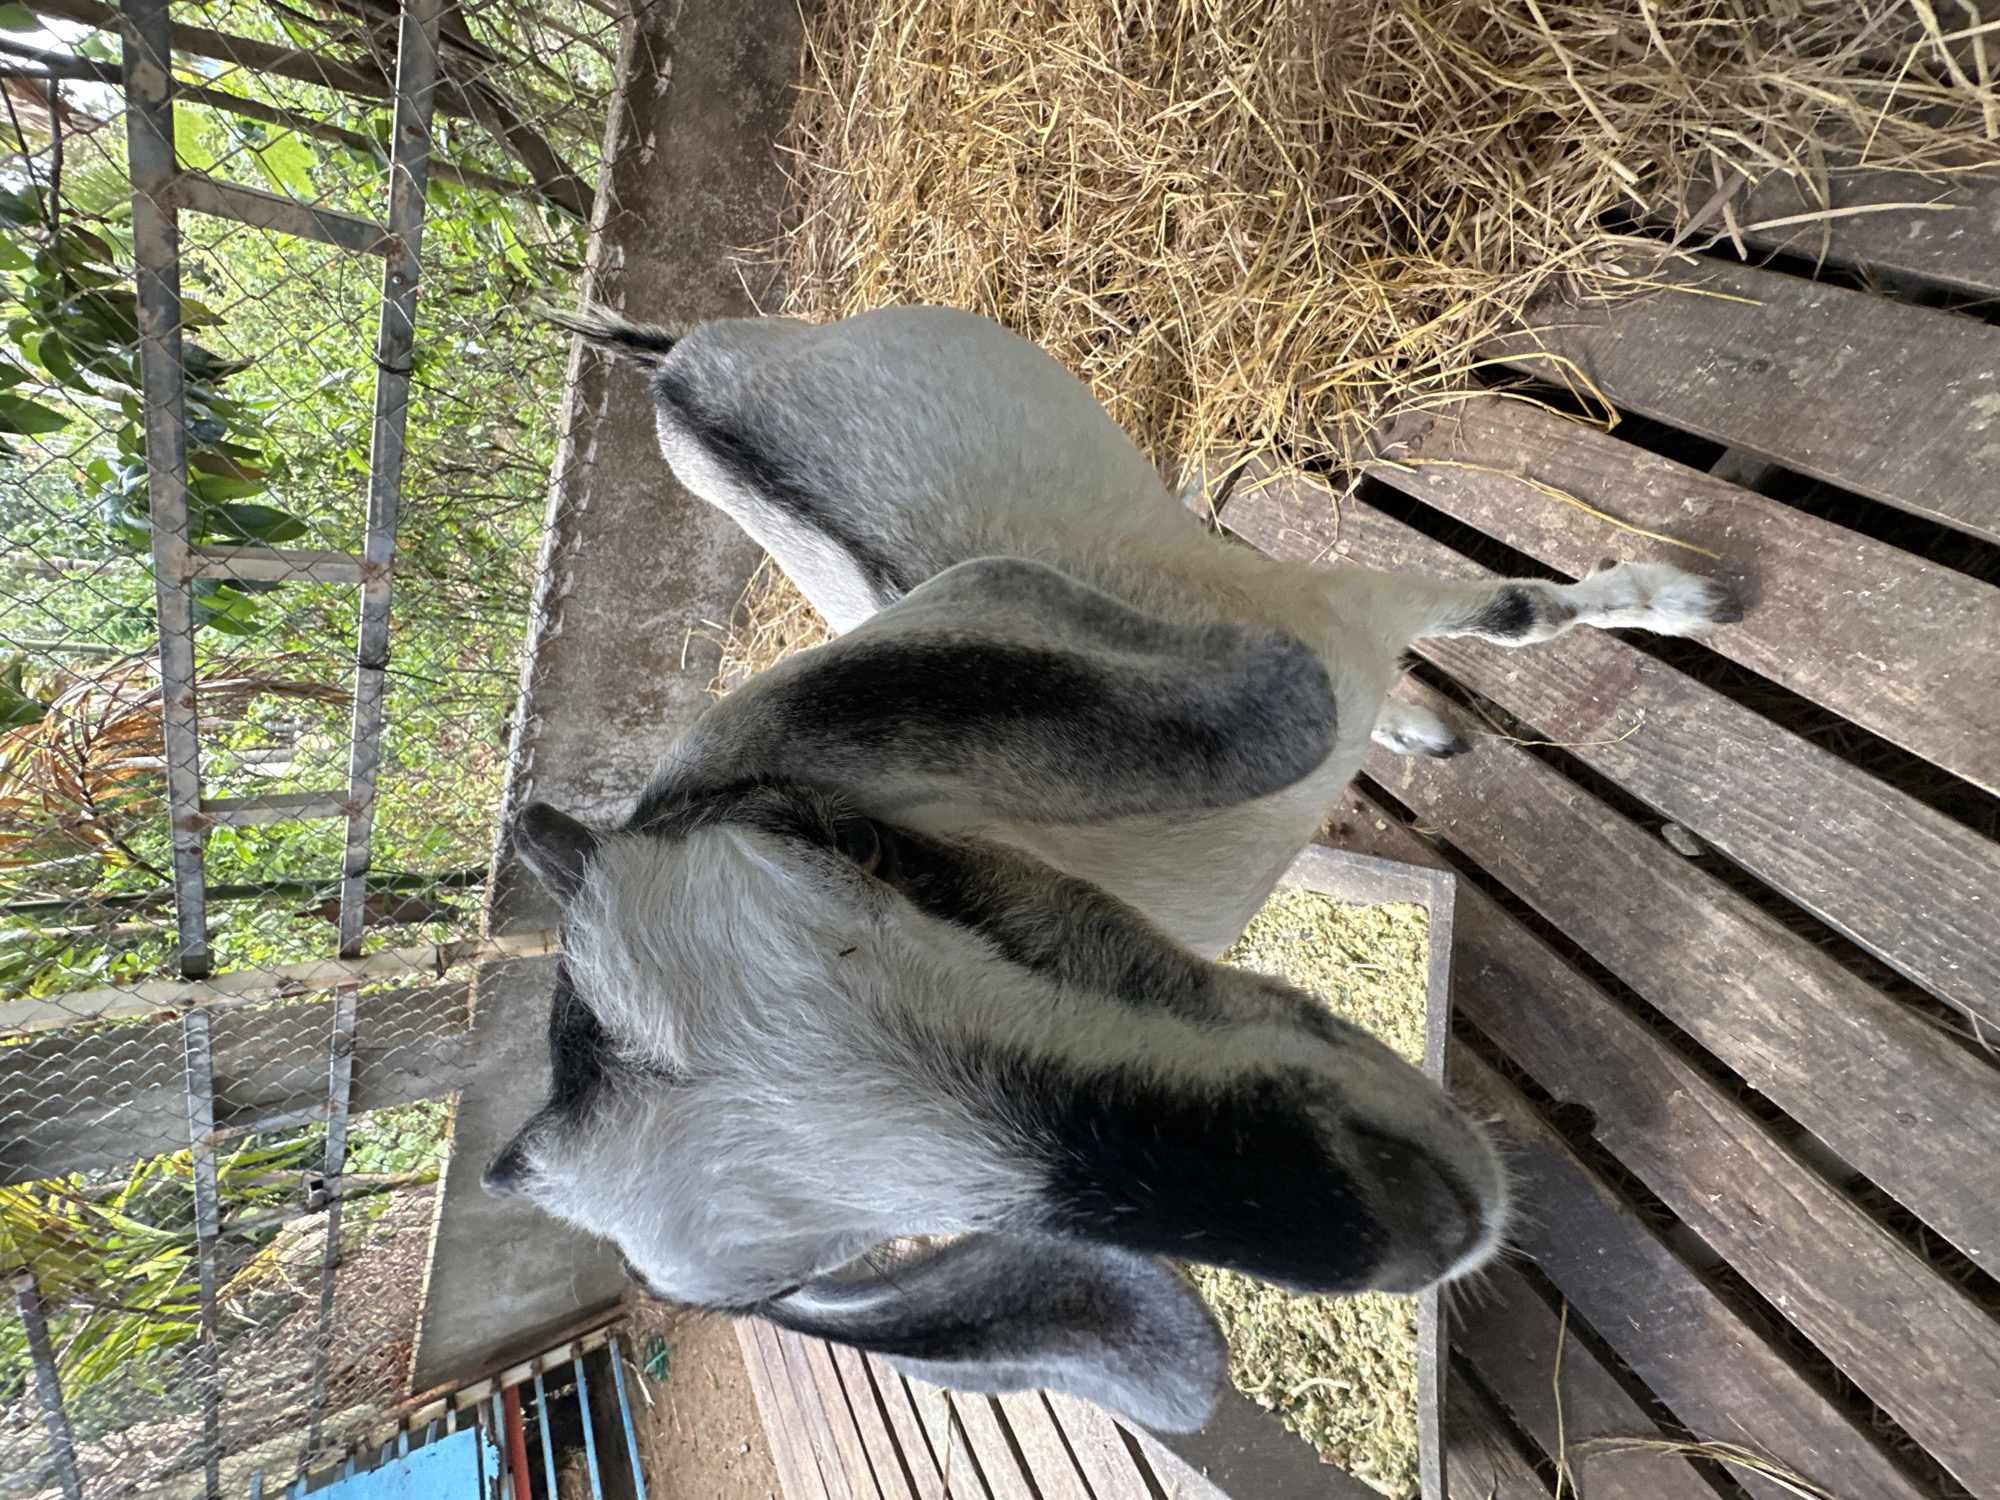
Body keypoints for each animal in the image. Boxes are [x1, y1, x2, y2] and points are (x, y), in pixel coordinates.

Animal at [483, 305, 1738, 1430]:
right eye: (851, 1252)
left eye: (865, 849)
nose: (1412, 1216)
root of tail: (672, 371)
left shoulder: (1339, 605)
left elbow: (1516, 608)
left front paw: (1680, 600)